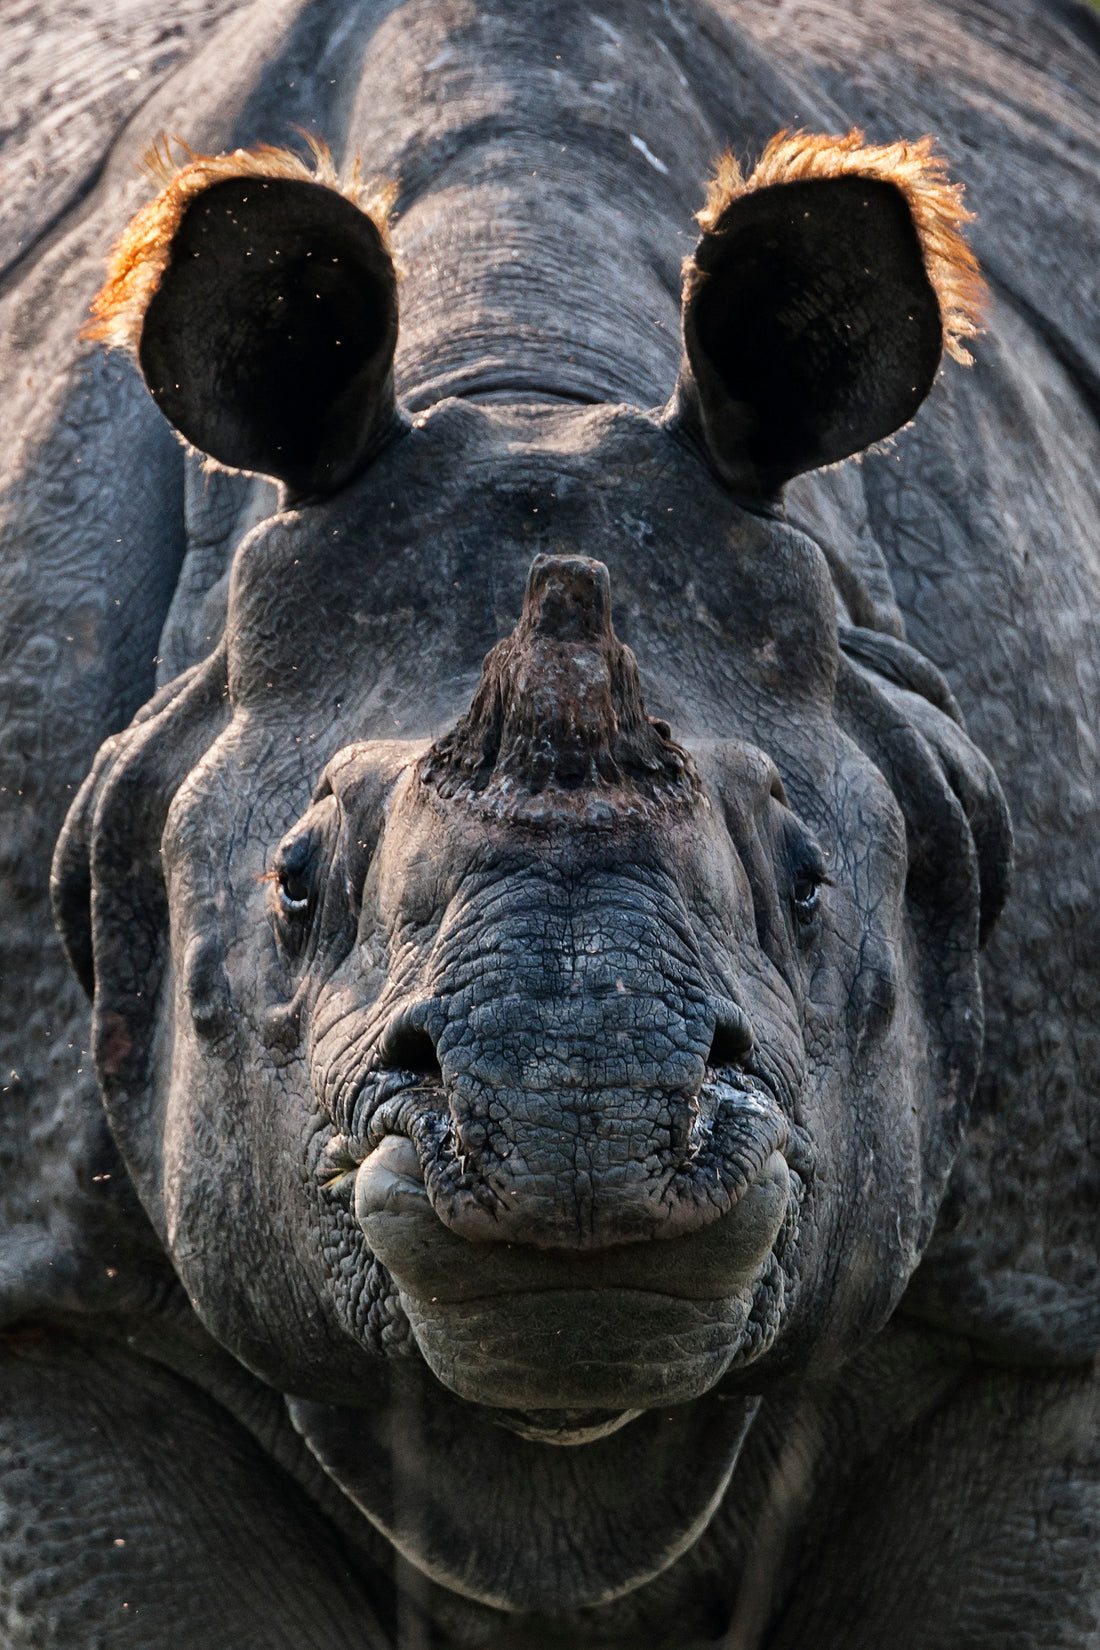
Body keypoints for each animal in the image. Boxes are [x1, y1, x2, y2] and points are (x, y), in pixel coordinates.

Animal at [1, 0, 1098, 1645]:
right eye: (293, 885)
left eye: (810, 881)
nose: (574, 1122)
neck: (526, 383)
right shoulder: (43, 1288)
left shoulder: (1043, 1294)